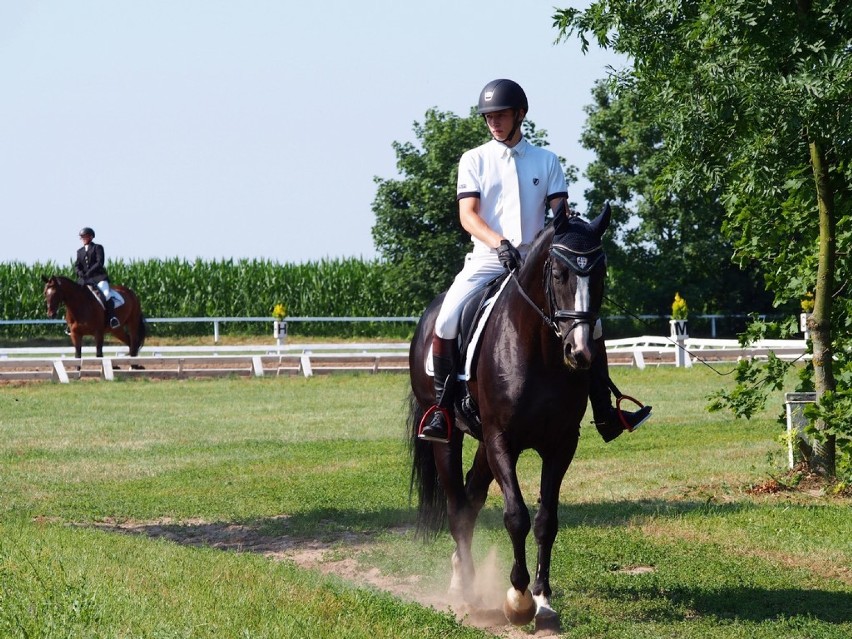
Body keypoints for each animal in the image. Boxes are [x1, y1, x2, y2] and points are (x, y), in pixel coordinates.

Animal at [408, 204, 612, 632]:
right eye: (558, 273)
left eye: (600, 273)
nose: (580, 351)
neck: (540, 351)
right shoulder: (503, 440)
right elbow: (516, 516)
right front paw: (518, 600)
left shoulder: (560, 445)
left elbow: (546, 520)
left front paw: (543, 600)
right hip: (450, 438)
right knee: (457, 508)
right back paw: (465, 590)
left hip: (483, 443)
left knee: (470, 499)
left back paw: (462, 575)